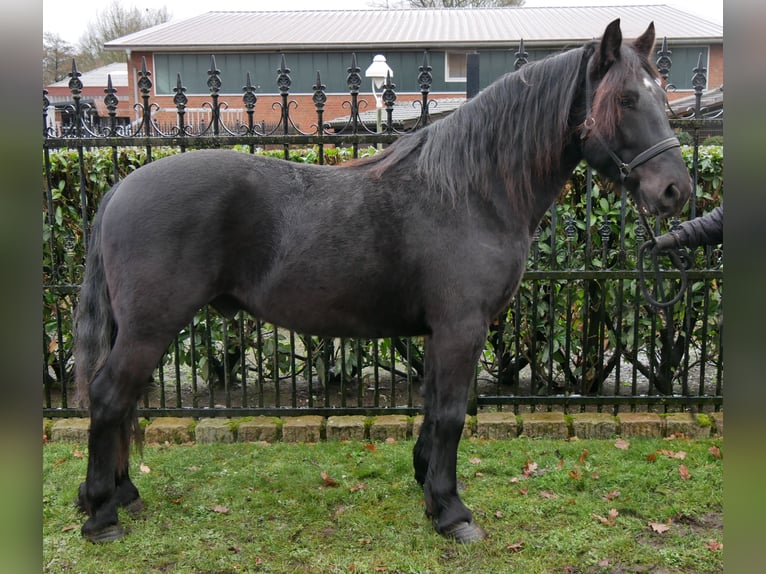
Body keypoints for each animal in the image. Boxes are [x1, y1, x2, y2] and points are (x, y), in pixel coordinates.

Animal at [73, 19, 691, 543]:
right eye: (627, 99)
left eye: (662, 95)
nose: (674, 191)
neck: (472, 192)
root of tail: (120, 189)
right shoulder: (461, 328)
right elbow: (451, 413)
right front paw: (452, 512)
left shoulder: (442, 334)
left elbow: (435, 408)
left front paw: (428, 489)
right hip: (150, 328)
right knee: (109, 398)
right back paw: (102, 514)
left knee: (123, 405)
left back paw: (122, 495)